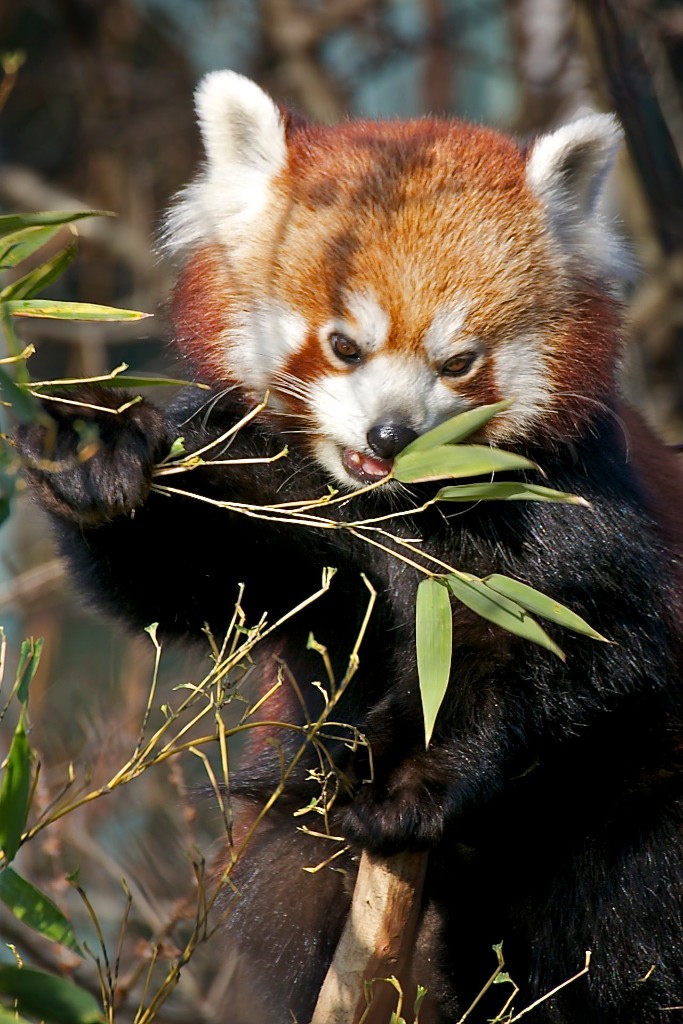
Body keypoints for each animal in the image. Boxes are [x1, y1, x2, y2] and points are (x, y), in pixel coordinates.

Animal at [17, 71, 683, 1023]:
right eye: (343, 345)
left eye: (457, 362)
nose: (390, 435)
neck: (388, 508)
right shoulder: (273, 493)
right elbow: (190, 580)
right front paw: (97, 455)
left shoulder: (566, 507)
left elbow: (561, 641)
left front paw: (410, 774)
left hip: (634, 811)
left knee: (624, 907)